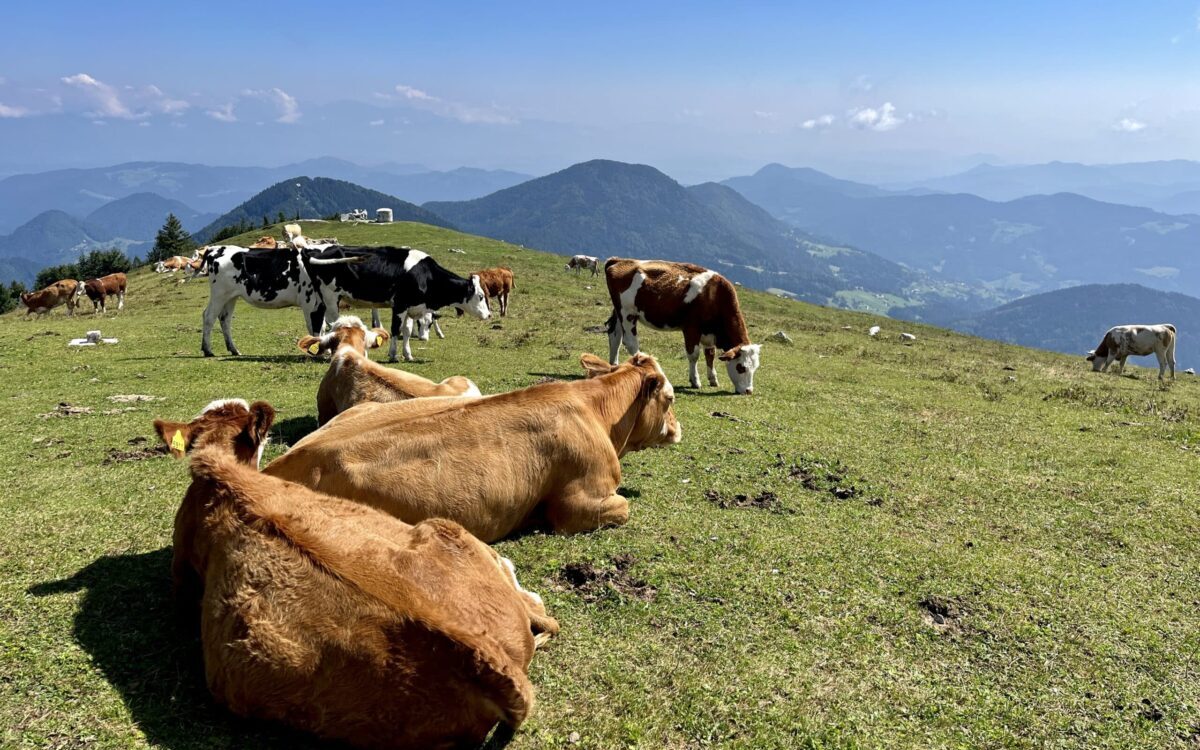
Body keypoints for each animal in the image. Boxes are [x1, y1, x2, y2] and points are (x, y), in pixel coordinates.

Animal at [307, 246, 489, 362]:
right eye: (480, 296)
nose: (488, 315)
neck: (425, 275)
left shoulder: (411, 307)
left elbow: (407, 331)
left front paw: (408, 355)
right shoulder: (400, 305)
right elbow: (395, 329)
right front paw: (393, 355)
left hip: (320, 299)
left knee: (317, 320)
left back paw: (321, 351)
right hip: (330, 296)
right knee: (332, 322)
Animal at [604, 256, 763, 396]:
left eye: (755, 368)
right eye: (741, 367)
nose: (748, 391)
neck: (714, 295)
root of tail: (619, 260)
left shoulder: (708, 332)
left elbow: (710, 354)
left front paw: (713, 379)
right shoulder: (691, 328)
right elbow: (694, 355)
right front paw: (695, 381)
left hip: (619, 311)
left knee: (615, 335)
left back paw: (614, 365)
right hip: (627, 312)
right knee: (630, 343)